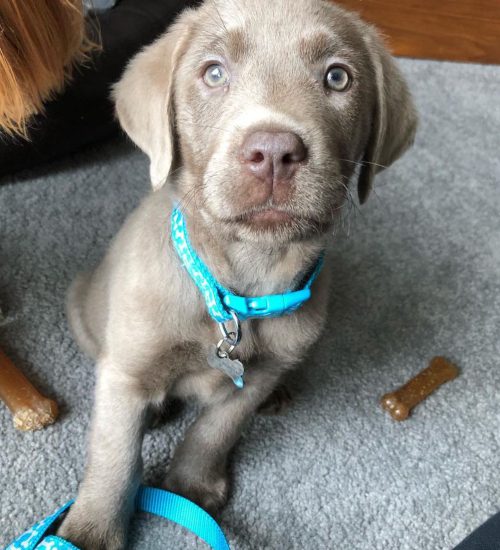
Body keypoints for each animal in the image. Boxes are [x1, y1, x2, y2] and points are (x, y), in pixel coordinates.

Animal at [58, 0, 417, 547]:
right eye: (213, 73)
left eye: (338, 77)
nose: (273, 152)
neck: (239, 288)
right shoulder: (126, 373)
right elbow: (114, 456)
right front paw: (90, 531)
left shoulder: (258, 375)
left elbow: (216, 429)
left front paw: (189, 486)